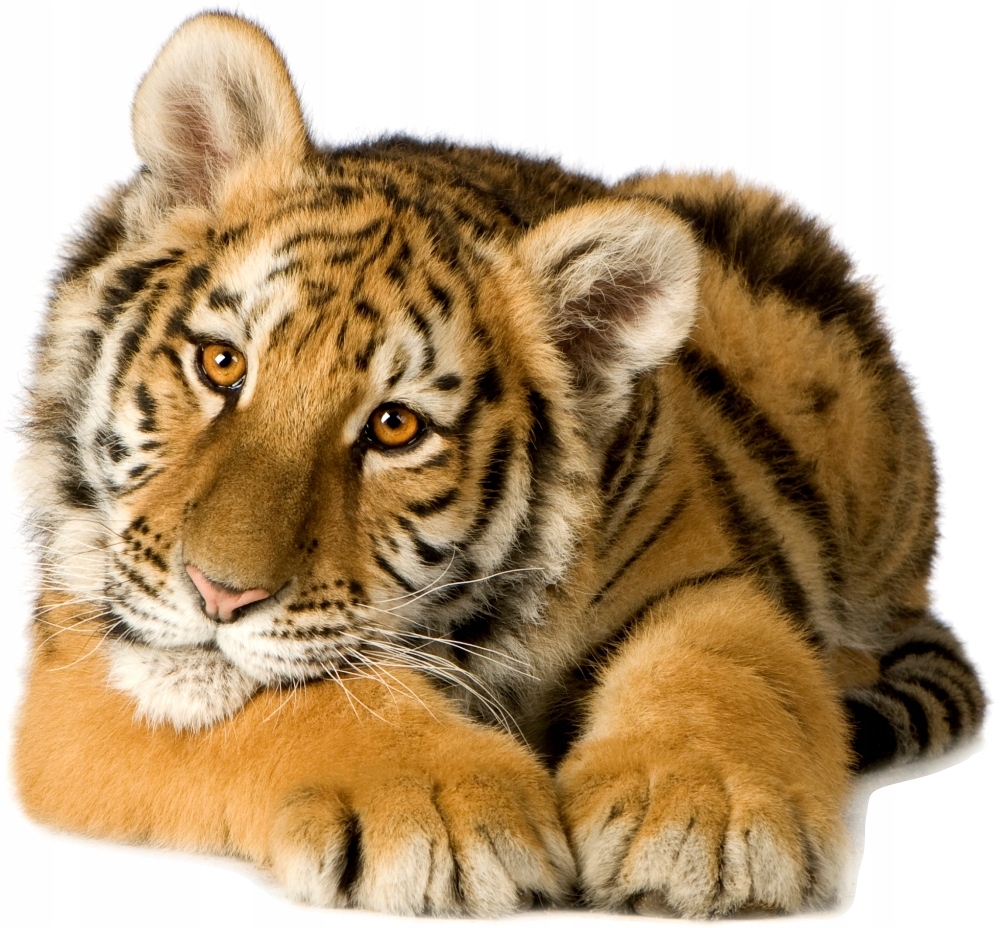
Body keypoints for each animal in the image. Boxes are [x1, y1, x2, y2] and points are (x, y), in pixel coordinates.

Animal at [13, 10, 985, 919]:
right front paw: (447, 807)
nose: (219, 594)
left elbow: (722, 665)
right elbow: (319, 699)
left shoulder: (706, 569)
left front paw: (704, 821)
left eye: (395, 428)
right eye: (221, 365)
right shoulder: (79, 661)